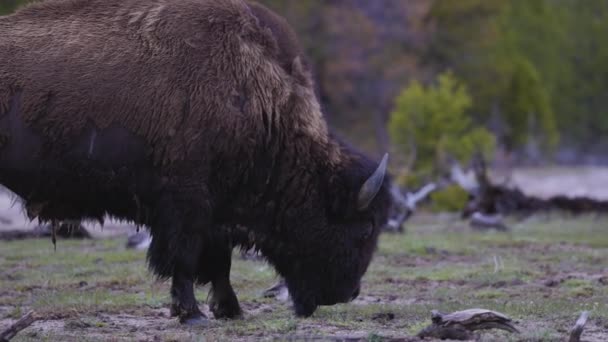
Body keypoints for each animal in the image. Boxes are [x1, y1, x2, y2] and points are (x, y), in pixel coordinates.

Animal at [0, 0, 394, 324]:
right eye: (364, 228)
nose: (347, 293)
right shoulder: (187, 203)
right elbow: (186, 258)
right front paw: (191, 314)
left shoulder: (218, 212)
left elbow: (220, 263)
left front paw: (229, 309)